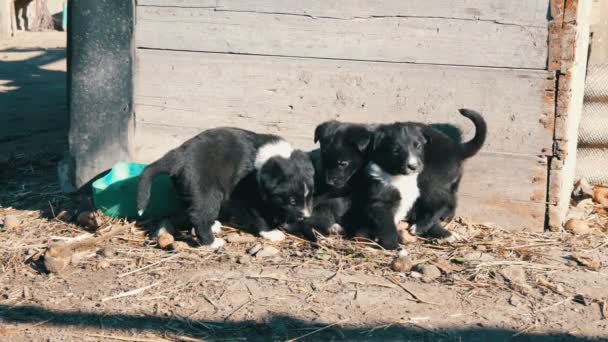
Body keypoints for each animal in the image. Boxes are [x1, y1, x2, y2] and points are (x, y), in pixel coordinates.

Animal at [137, 127, 314, 247]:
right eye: (291, 200)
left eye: (309, 197)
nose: (306, 217)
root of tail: (179, 156)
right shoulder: (250, 196)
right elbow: (261, 215)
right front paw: (271, 232)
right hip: (207, 191)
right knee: (199, 215)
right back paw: (212, 242)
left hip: (189, 190)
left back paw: (212, 226)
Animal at [406, 109, 486, 240]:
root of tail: (456, 147)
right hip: (448, 181)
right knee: (451, 199)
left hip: (427, 179)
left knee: (440, 203)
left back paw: (421, 226)